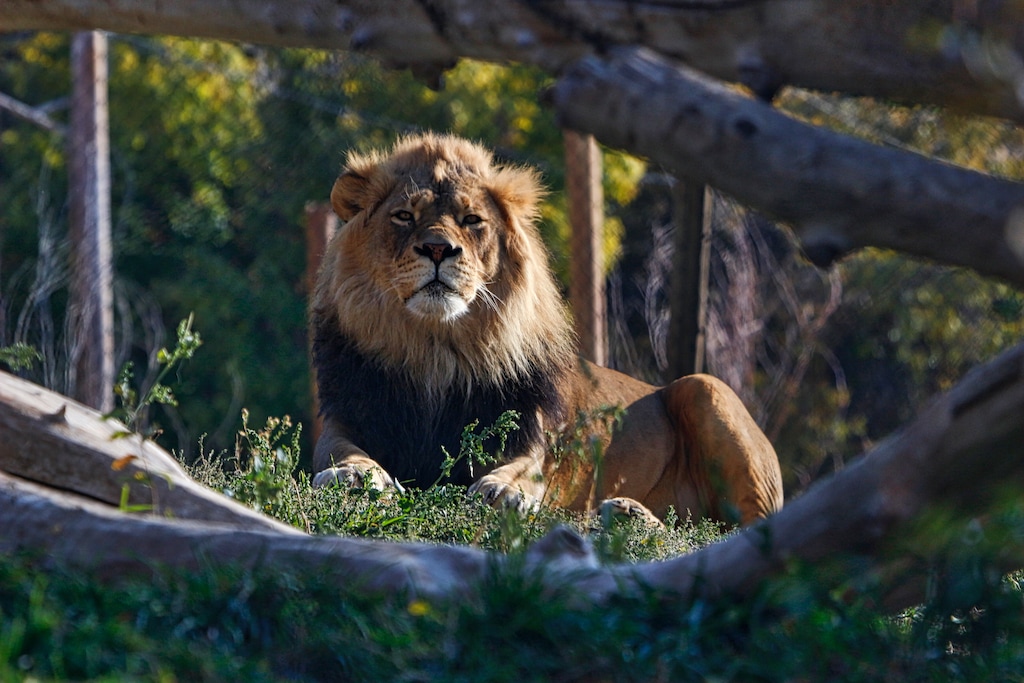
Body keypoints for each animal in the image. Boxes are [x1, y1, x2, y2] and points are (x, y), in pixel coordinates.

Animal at [310, 133, 783, 525]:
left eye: (472, 220)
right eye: (404, 216)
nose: (438, 249)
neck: (435, 351)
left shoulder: (530, 436)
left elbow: (524, 469)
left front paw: (502, 491)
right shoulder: (344, 415)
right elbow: (340, 450)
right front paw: (356, 476)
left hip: (706, 387)